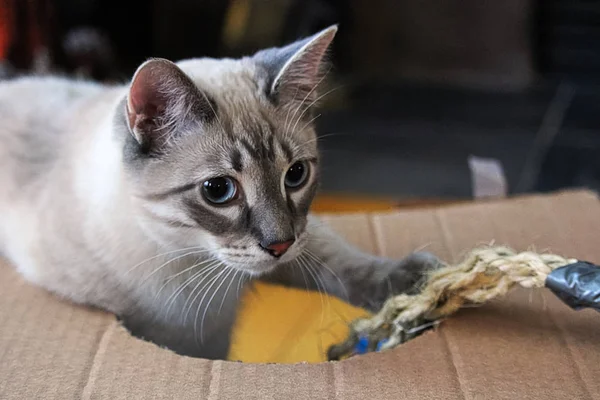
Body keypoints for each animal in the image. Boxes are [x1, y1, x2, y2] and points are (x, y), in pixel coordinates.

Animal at [0, 26, 438, 360]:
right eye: (218, 190)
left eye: (295, 175)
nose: (278, 245)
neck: (195, 262)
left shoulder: (297, 240)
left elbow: (338, 262)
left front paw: (415, 284)